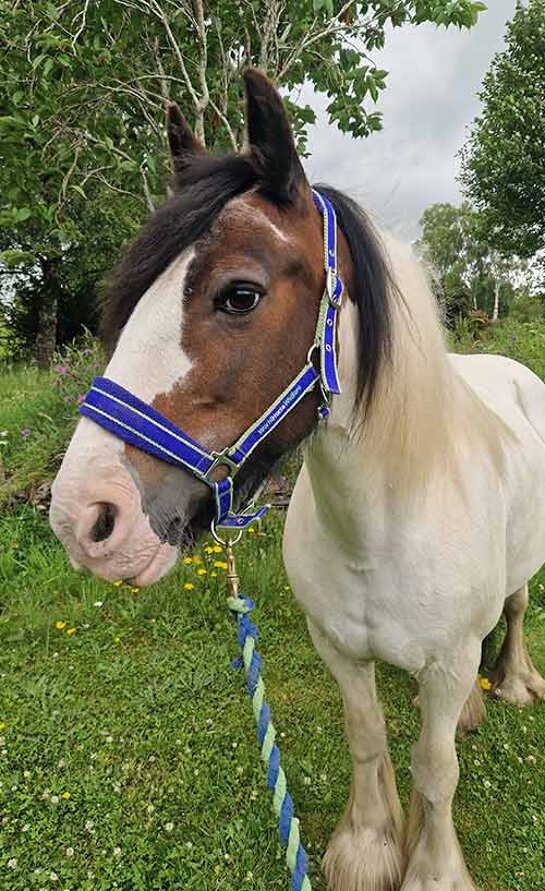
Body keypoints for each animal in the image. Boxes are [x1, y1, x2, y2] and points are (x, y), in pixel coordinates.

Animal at [49, 71, 544, 891]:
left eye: (240, 294)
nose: (84, 517)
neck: (379, 528)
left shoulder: (445, 666)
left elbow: (435, 769)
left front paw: (431, 868)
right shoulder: (337, 648)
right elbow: (368, 733)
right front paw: (368, 846)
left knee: (512, 609)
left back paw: (508, 682)